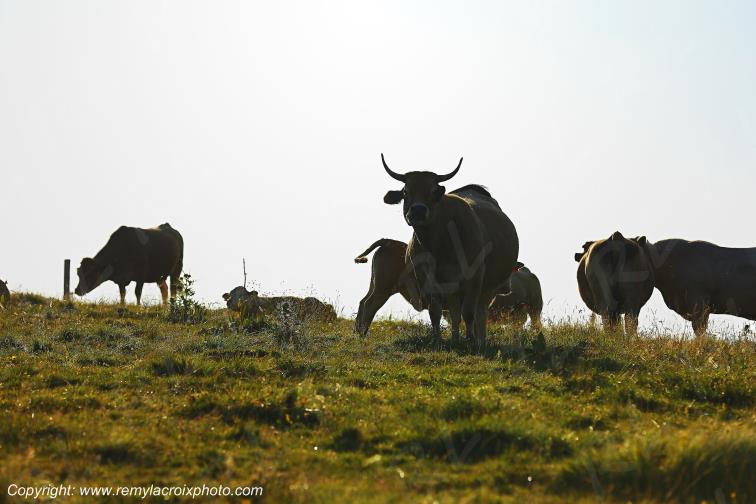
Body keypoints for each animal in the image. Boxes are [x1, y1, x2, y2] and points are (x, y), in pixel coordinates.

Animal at [354, 239, 541, 334]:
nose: (507, 287)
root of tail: (388, 242)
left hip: (376, 285)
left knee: (363, 303)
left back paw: (357, 332)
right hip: (383, 289)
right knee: (370, 305)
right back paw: (363, 334)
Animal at [381, 154, 519, 345]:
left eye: (433, 191)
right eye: (405, 192)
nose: (417, 211)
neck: (438, 247)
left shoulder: (475, 278)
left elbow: (469, 313)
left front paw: (470, 340)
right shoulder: (428, 280)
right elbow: (435, 312)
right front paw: (437, 339)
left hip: (487, 288)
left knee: (478, 312)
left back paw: (478, 340)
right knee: (455, 313)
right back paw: (455, 339)